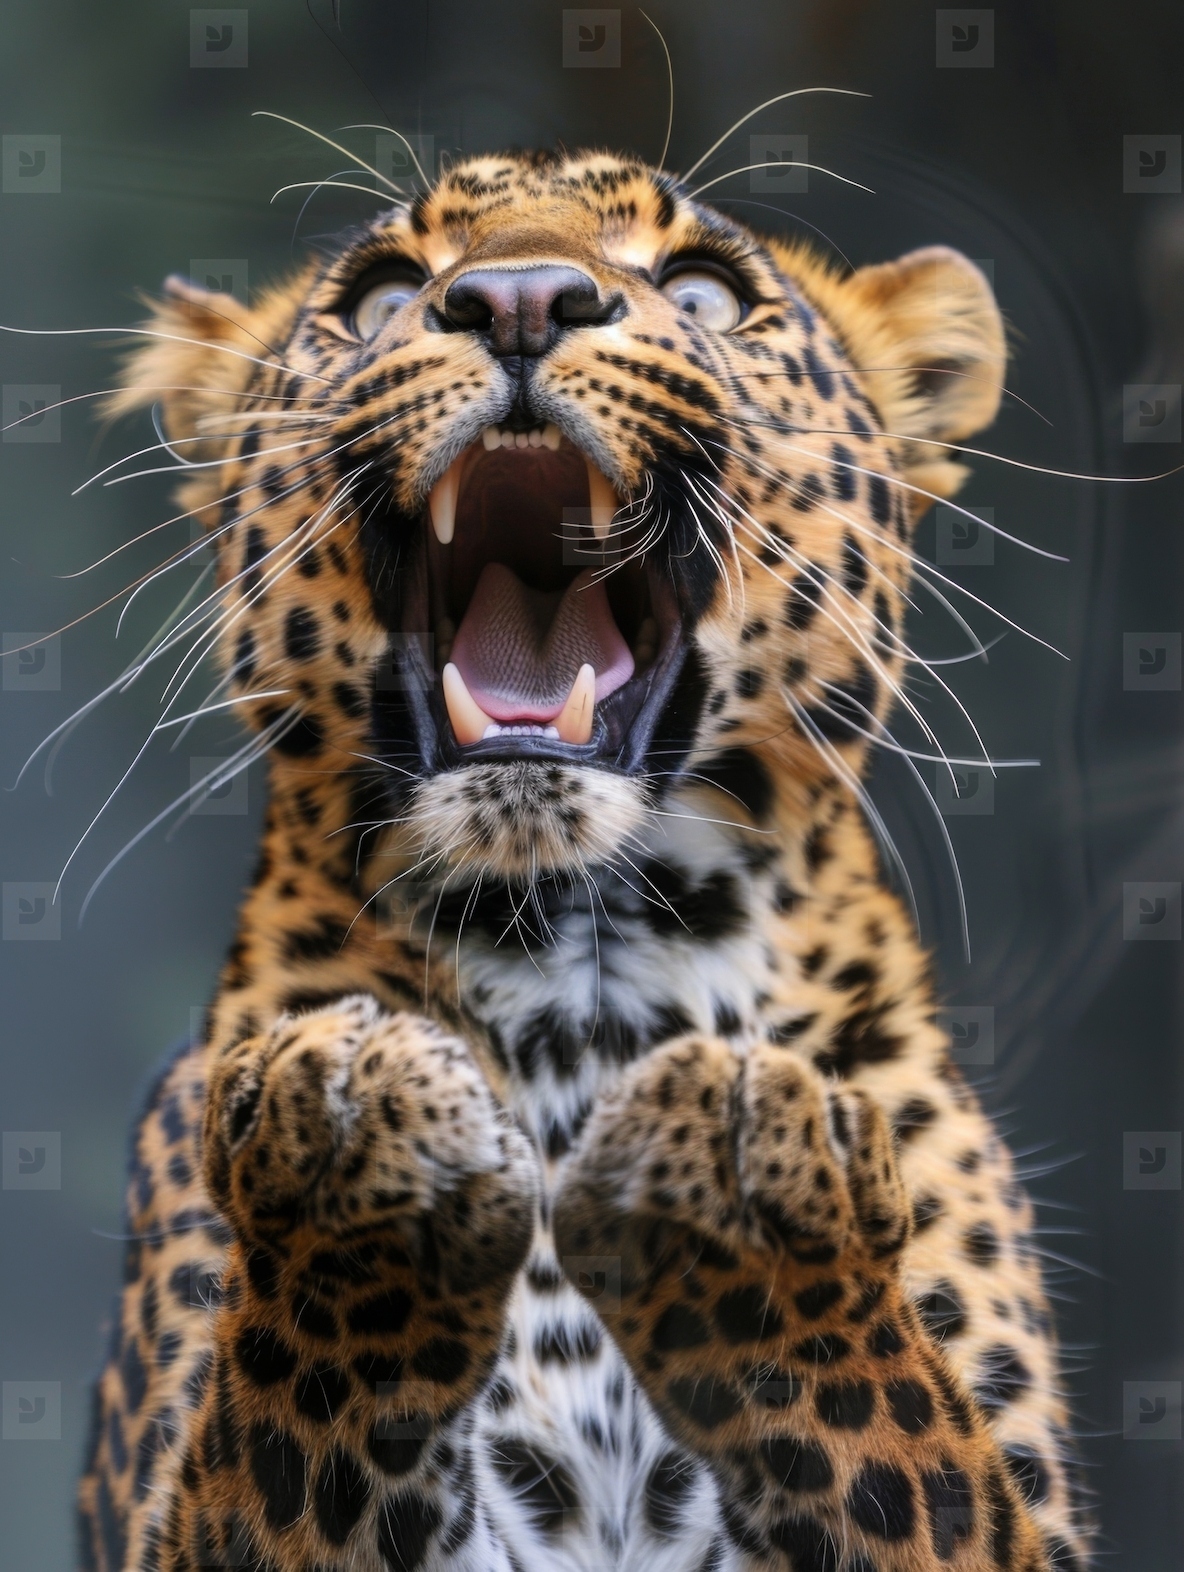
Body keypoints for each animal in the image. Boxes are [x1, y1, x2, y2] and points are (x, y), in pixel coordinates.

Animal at [74, 144, 1094, 1572]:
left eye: (705, 291)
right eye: (382, 292)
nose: (516, 301)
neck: (590, 978)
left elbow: (912, 1450)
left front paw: (741, 1174)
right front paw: (356, 1133)